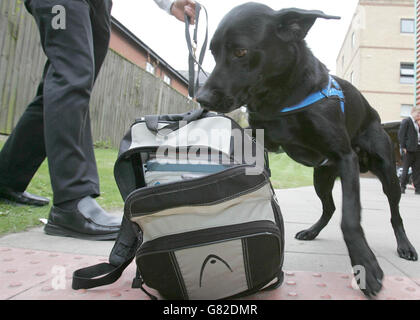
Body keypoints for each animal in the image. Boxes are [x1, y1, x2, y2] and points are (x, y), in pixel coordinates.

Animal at [197, 3, 416, 298]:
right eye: (213, 52)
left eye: (240, 51)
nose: (202, 98)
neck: (281, 97)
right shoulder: (261, 141)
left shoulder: (345, 157)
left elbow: (350, 219)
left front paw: (366, 266)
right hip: (321, 177)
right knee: (330, 207)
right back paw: (312, 231)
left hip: (388, 175)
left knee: (395, 214)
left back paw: (405, 246)